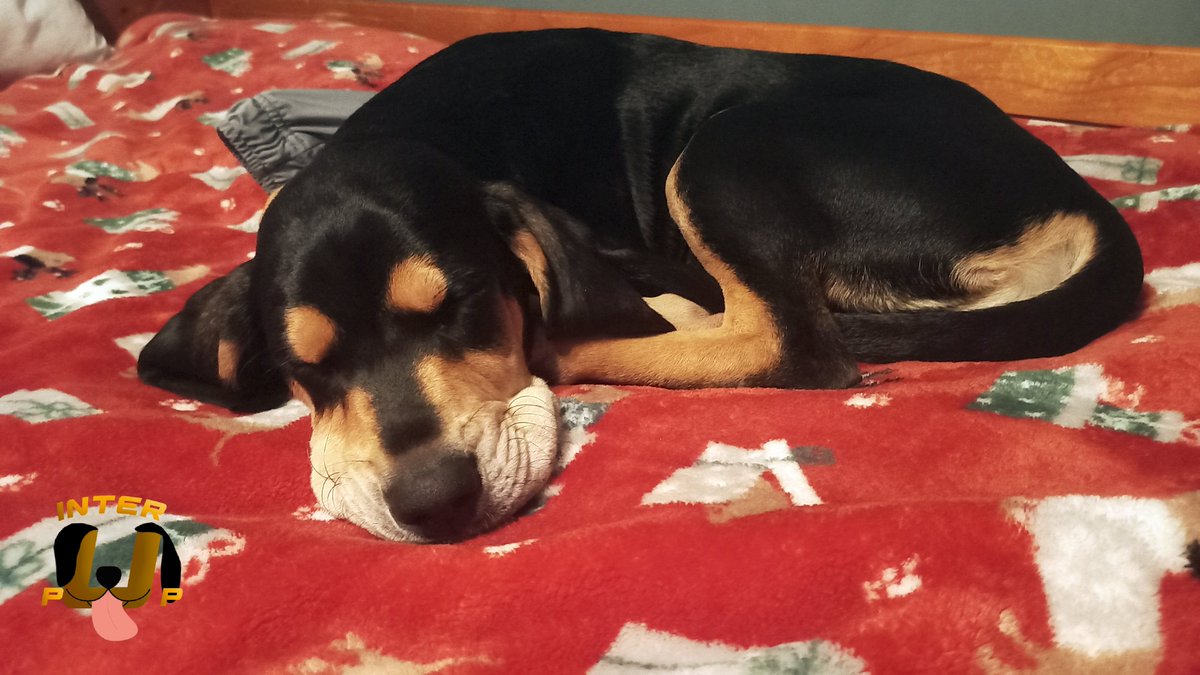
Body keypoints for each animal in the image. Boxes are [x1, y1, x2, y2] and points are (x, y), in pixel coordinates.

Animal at [138, 28, 1142, 540]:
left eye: (465, 305)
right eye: (304, 368)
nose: (430, 502)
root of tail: (1074, 196)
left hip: (727, 150)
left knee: (786, 341)